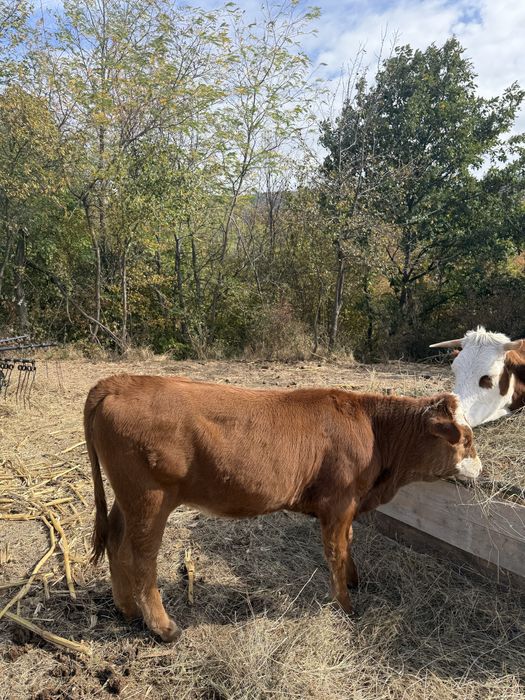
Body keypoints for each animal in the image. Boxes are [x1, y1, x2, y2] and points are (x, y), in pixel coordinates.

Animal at [85, 374, 481, 642]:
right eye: (465, 439)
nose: (480, 469)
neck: (373, 431)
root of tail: (118, 382)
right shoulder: (338, 505)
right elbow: (336, 552)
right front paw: (346, 606)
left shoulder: (348, 508)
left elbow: (349, 544)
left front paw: (355, 580)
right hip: (150, 500)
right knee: (141, 557)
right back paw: (164, 627)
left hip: (128, 500)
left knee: (116, 542)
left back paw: (127, 609)